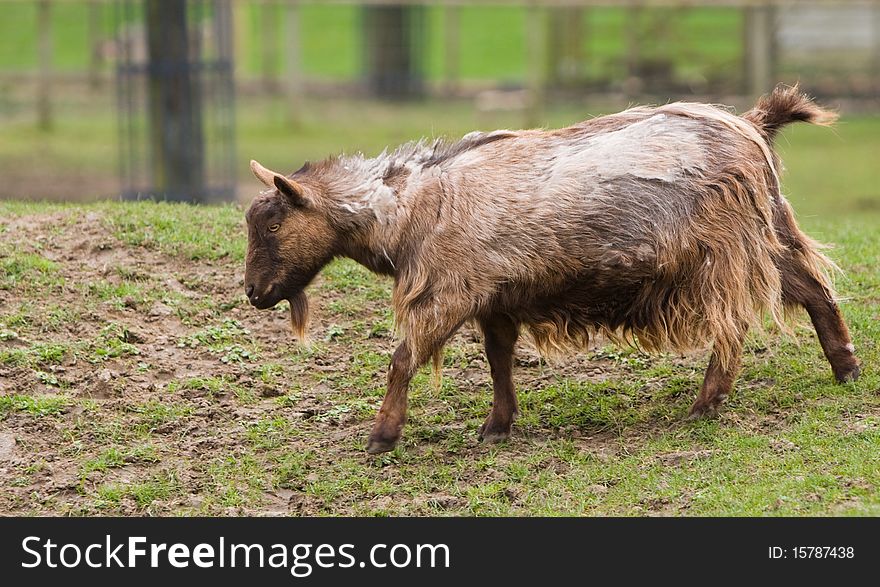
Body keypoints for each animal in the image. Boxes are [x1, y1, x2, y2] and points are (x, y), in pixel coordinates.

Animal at [246, 86, 860, 454]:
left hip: (722, 253)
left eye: (273, 224)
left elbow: (403, 360)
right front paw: (497, 426)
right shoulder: (494, 298)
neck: (411, 206)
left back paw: (705, 404)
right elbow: (498, 361)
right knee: (814, 289)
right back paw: (847, 368)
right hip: (769, 234)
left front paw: (381, 437)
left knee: (732, 327)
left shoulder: (446, 292)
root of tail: (753, 126)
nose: (253, 292)